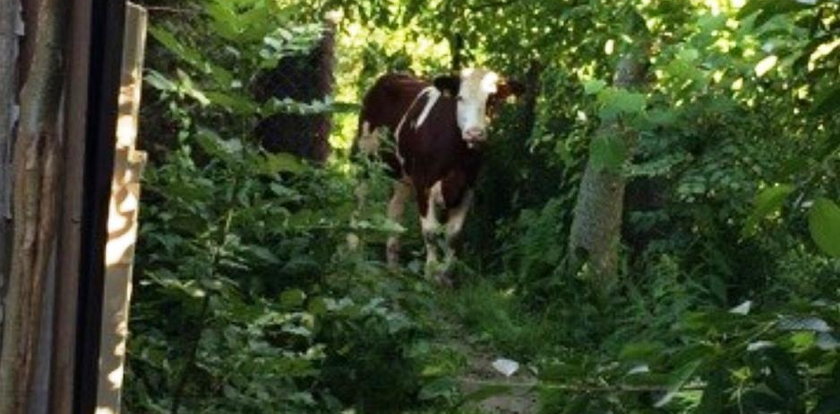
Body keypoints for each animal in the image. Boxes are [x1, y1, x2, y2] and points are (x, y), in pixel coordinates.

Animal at [356, 68, 524, 284]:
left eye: (492, 99)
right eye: (460, 98)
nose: (475, 133)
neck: (456, 155)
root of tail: (390, 76)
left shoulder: (468, 187)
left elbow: (453, 234)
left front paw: (447, 277)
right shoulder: (423, 184)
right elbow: (431, 232)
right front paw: (431, 273)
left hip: (403, 176)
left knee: (395, 209)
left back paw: (394, 268)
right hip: (364, 156)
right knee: (359, 202)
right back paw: (352, 252)